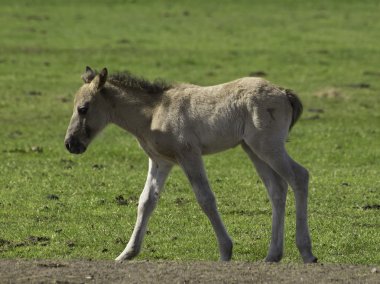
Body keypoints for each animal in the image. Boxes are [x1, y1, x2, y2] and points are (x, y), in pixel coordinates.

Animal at [64, 66, 318, 264]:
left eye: (83, 108)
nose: (70, 144)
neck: (154, 112)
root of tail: (284, 92)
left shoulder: (189, 155)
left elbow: (205, 199)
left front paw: (225, 251)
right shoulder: (161, 162)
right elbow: (146, 201)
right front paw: (126, 254)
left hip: (268, 146)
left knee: (299, 177)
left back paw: (306, 252)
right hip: (253, 150)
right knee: (277, 189)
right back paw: (273, 255)